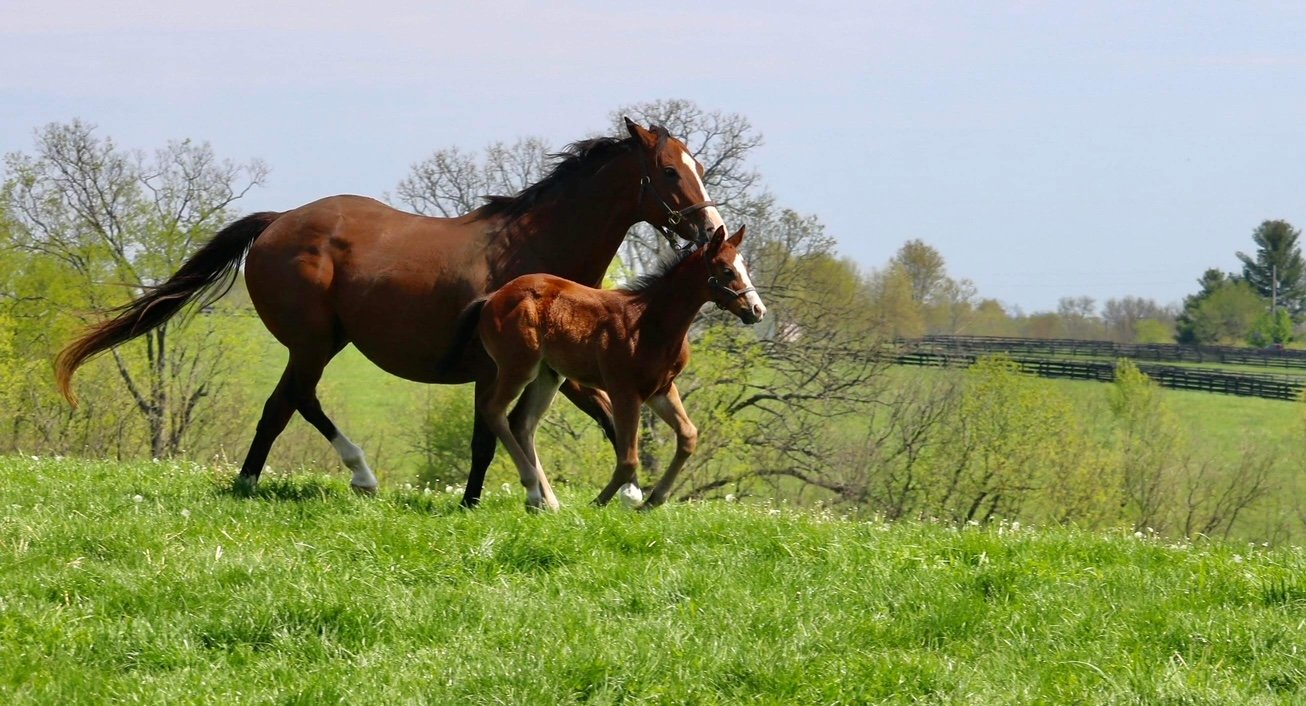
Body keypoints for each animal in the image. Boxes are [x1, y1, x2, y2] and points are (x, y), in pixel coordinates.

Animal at [53, 119, 731, 500]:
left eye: (697, 166)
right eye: (670, 171)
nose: (713, 230)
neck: (532, 253)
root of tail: (278, 221)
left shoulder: (557, 370)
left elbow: (594, 418)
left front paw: (625, 493)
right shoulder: (501, 370)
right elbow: (491, 437)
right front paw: (482, 501)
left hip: (324, 342)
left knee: (291, 402)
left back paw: (310, 478)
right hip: (313, 341)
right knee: (288, 403)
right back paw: (317, 477)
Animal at [444, 225, 765, 510]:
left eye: (745, 268)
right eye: (727, 271)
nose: (757, 310)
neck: (650, 321)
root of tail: (492, 299)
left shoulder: (661, 389)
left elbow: (688, 437)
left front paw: (655, 499)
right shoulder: (625, 392)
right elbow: (629, 459)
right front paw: (601, 503)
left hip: (549, 375)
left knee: (522, 422)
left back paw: (548, 503)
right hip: (518, 368)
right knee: (494, 409)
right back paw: (534, 491)